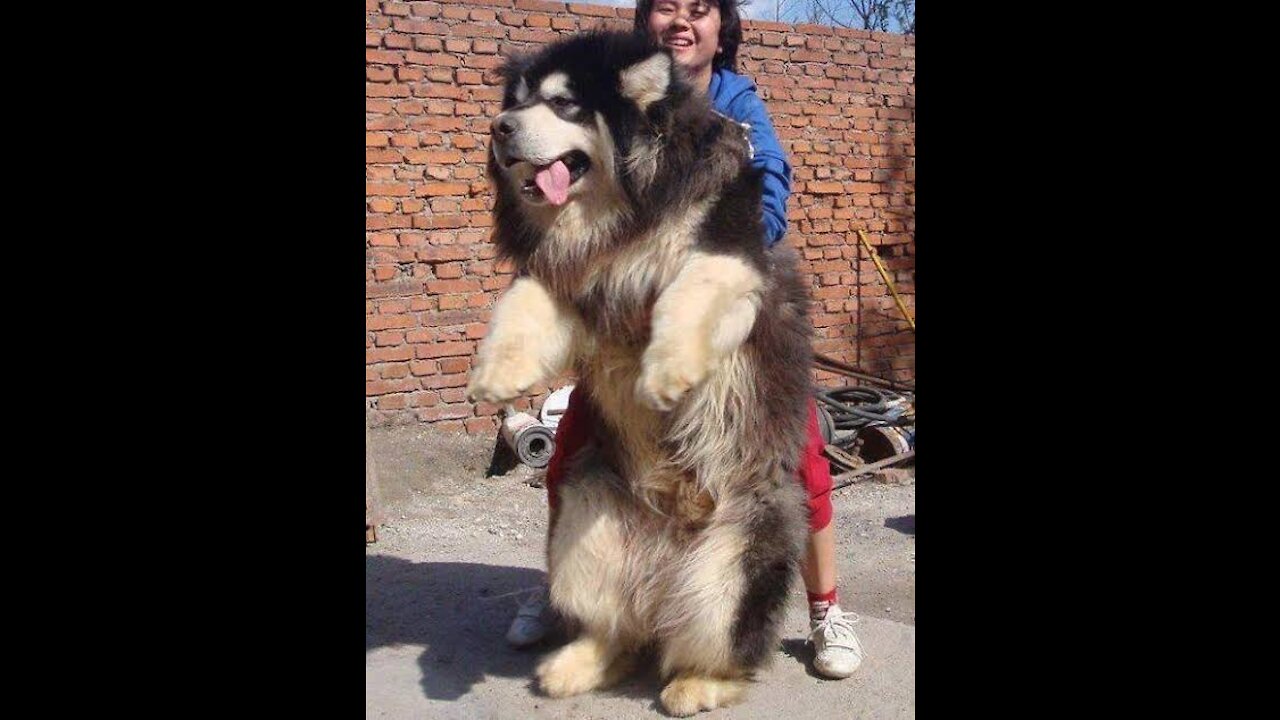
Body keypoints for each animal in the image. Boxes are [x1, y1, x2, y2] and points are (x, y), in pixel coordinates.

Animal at [465, 30, 814, 712]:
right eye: (516, 102)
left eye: (564, 103)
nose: (499, 128)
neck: (618, 217)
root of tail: (661, 580)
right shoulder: (566, 278)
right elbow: (523, 302)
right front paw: (497, 373)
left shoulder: (730, 252)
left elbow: (693, 291)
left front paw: (665, 373)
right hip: (585, 520)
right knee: (618, 628)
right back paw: (579, 662)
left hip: (737, 558)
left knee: (725, 651)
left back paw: (697, 685)